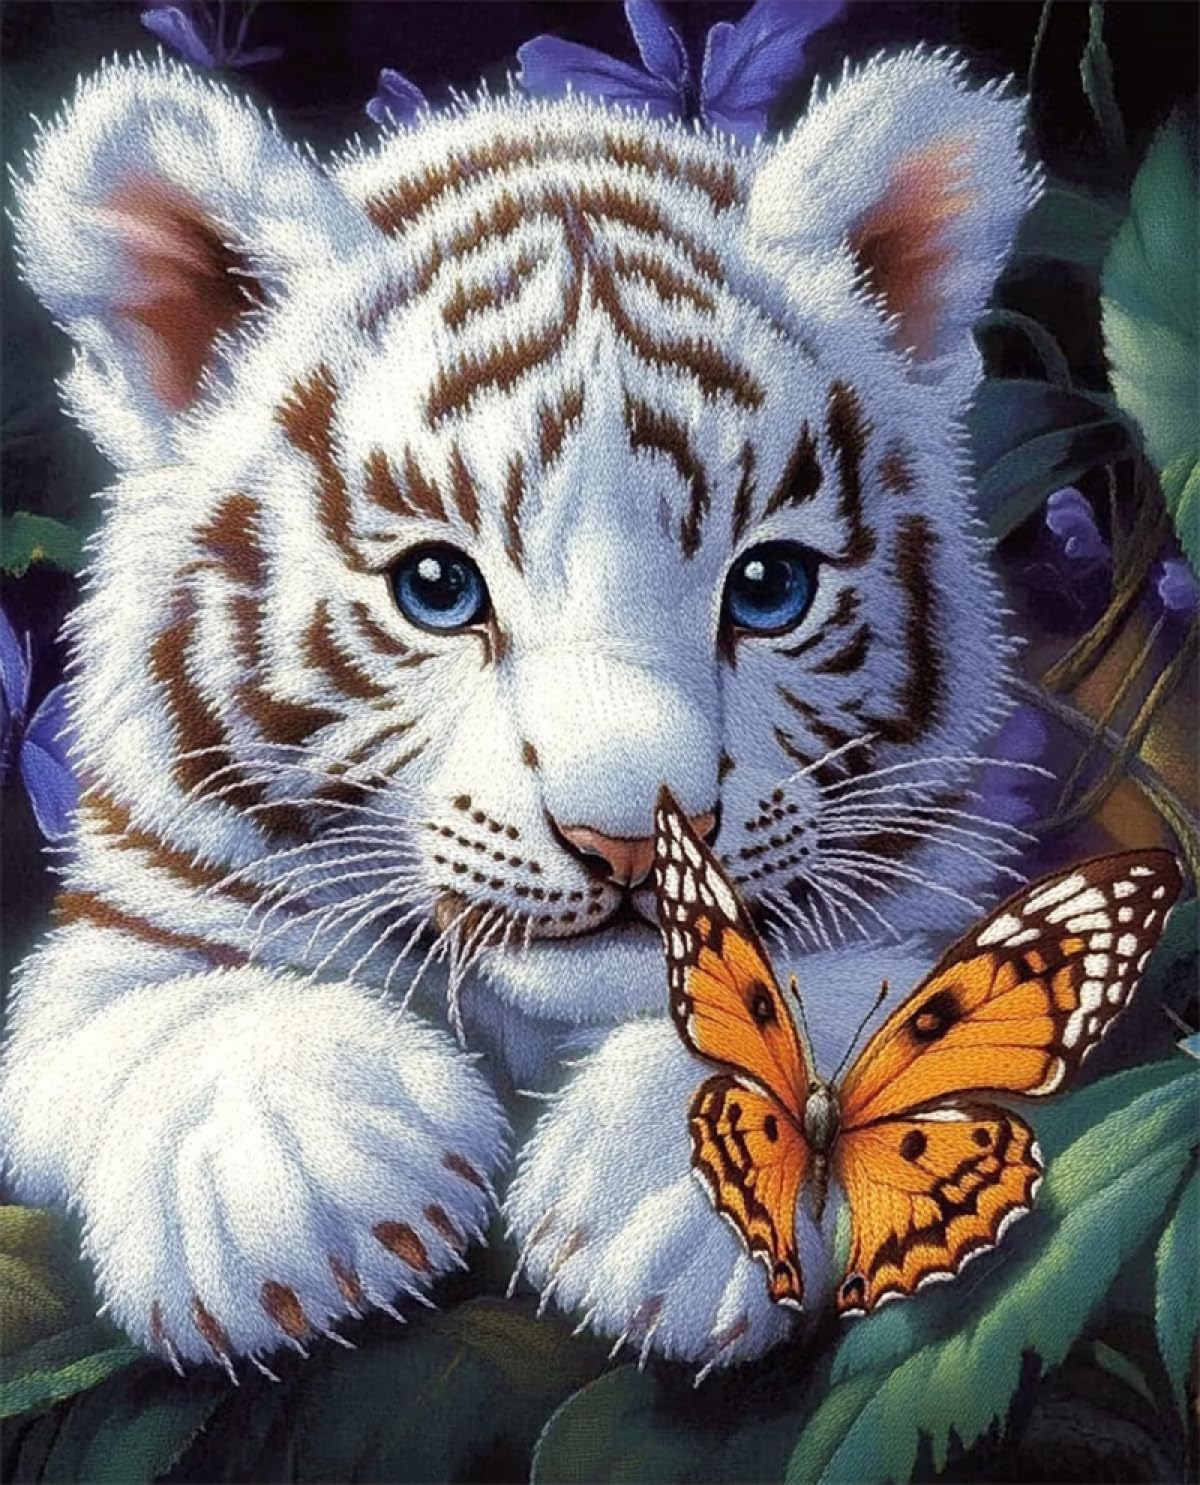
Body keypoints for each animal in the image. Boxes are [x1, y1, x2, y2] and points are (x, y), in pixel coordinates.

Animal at [2, 47, 1037, 1377]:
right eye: (437, 589)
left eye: (770, 586)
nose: (632, 840)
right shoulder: (113, 943)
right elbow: (162, 1012)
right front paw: (293, 1187)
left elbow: (881, 985)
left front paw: (667, 1197)